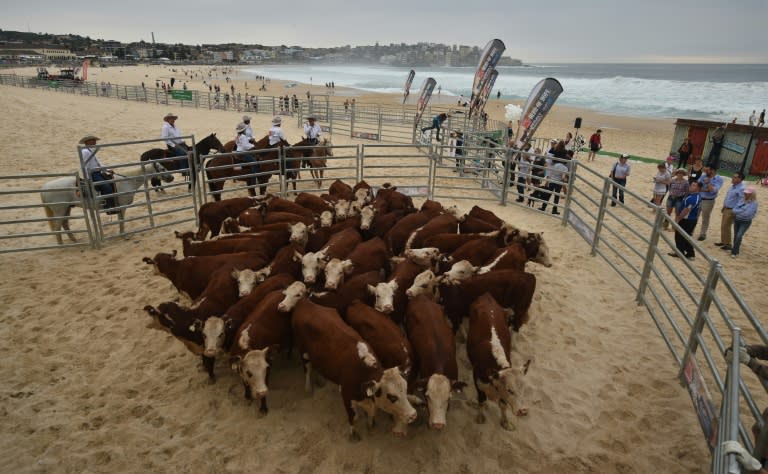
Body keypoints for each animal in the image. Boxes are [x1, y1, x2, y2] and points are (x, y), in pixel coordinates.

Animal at [42, 162, 175, 244]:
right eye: (162, 168)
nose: (172, 178)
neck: (127, 181)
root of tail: (44, 188)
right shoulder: (122, 207)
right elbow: (121, 220)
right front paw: (124, 235)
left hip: (67, 208)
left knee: (65, 224)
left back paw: (74, 240)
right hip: (59, 210)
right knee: (58, 228)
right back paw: (61, 244)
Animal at [292, 292, 416, 440]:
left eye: (406, 389)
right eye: (392, 397)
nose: (413, 415)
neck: (363, 372)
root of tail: (305, 303)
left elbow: (370, 414)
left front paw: (370, 424)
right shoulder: (346, 395)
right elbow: (352, 417)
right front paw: (353, 433)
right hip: (303, 351)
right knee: (307, 368)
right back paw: (308, 387)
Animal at [464, 292, 532, 430]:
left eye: (524, 389)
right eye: (509, 389)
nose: (523, 411)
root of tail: (487, 296)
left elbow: (503, 405)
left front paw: (505, 422)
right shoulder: (478, 382)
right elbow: (481, 400)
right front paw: (480, 417)